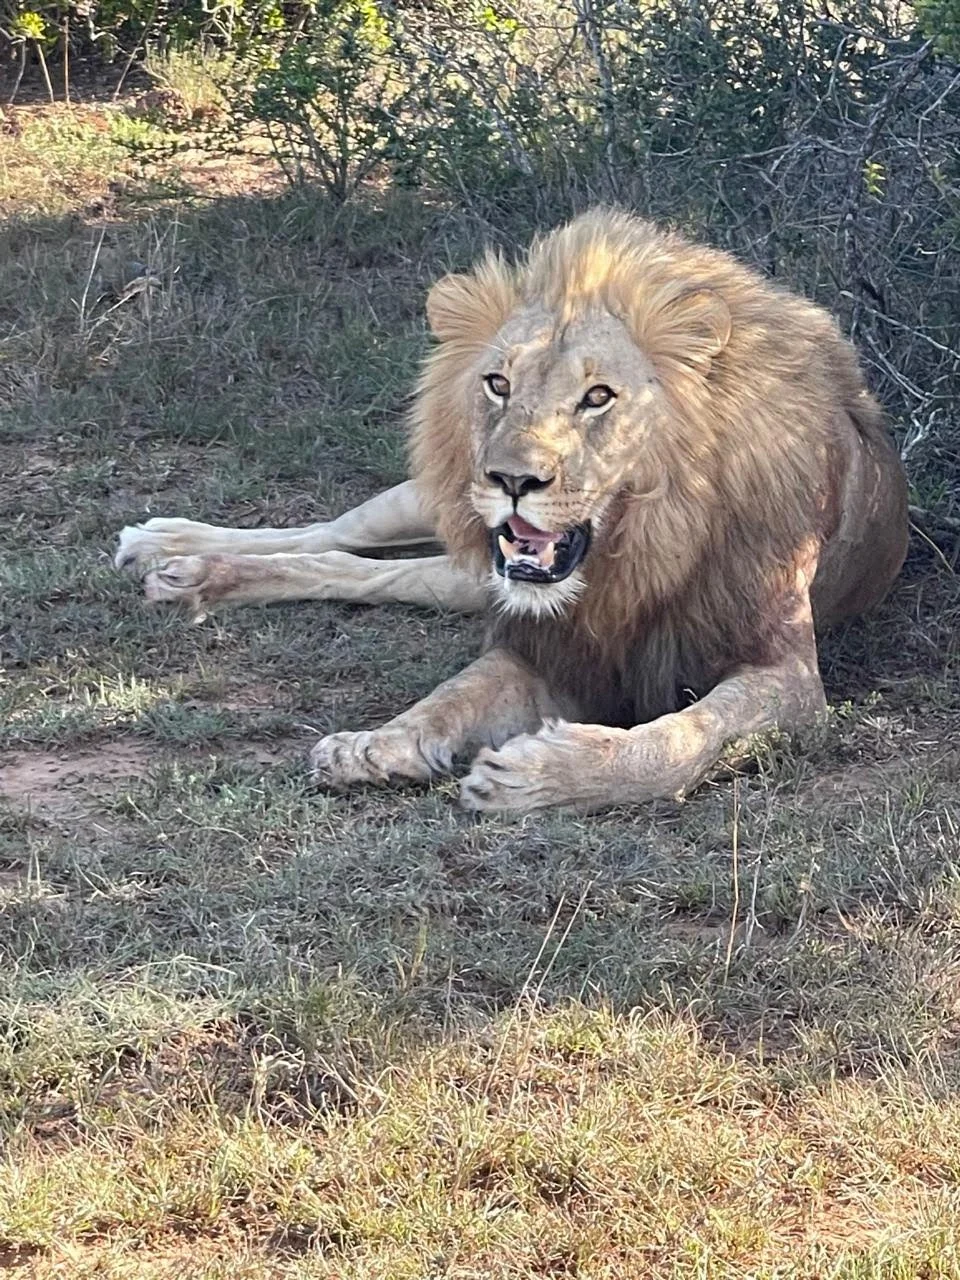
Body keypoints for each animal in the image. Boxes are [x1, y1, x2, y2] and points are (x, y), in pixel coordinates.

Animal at [116, 209, 909, 812]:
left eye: (598, 396)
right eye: (498, 383)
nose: (512, 478)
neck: (639, 555)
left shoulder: (787, 674)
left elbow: (684, 738)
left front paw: (537, 776)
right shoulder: (544, 644)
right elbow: (454, 694)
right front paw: (377, 744)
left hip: (463, 578)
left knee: (363, 569)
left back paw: (187, 572)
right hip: (428, 505)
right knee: (334, 533)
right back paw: (170, 549)